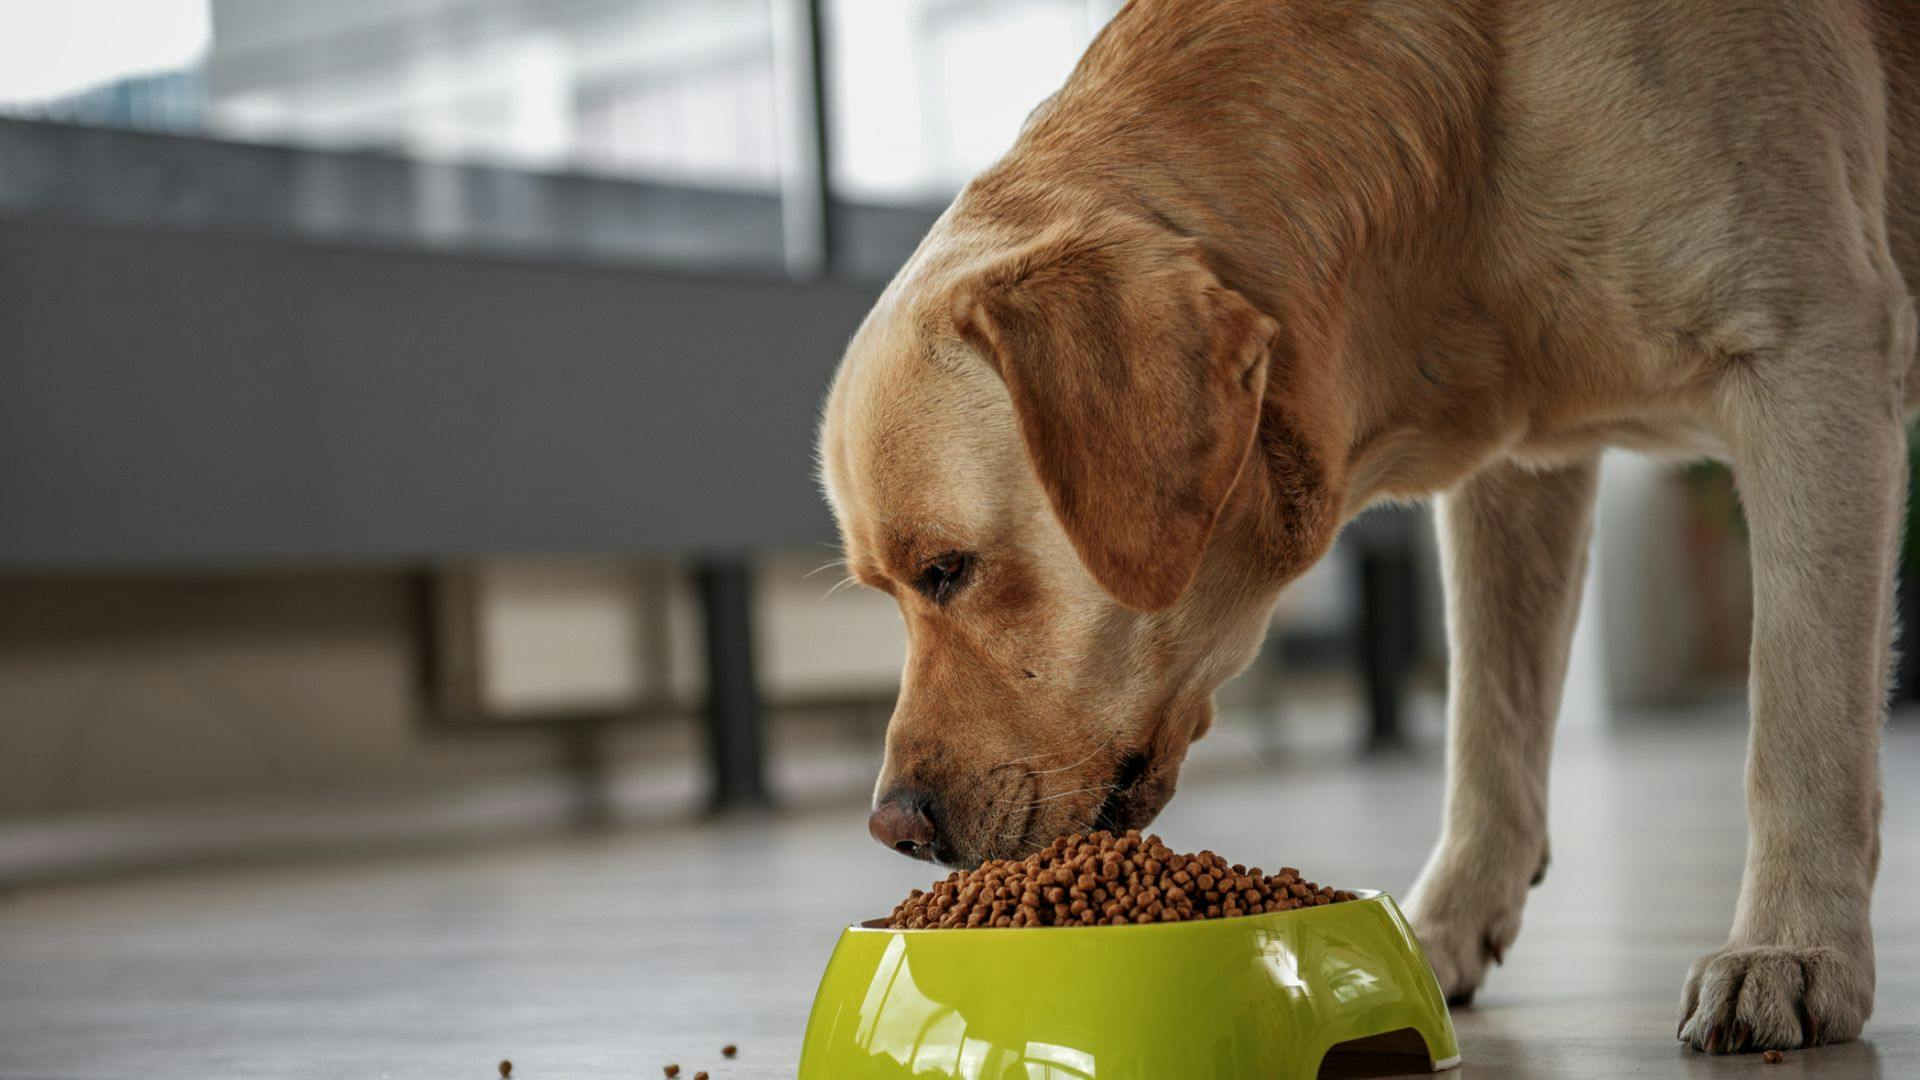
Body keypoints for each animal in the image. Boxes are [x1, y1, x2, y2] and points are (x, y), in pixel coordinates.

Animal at [814, 0, 1920, 1045]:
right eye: (885, 590)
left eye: (948, 569)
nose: (893, 828)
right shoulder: (1521, 468)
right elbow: (1488, 728)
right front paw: (1438, 932)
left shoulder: (1813, 359)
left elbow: (1799, 722)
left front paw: (1791, 948)